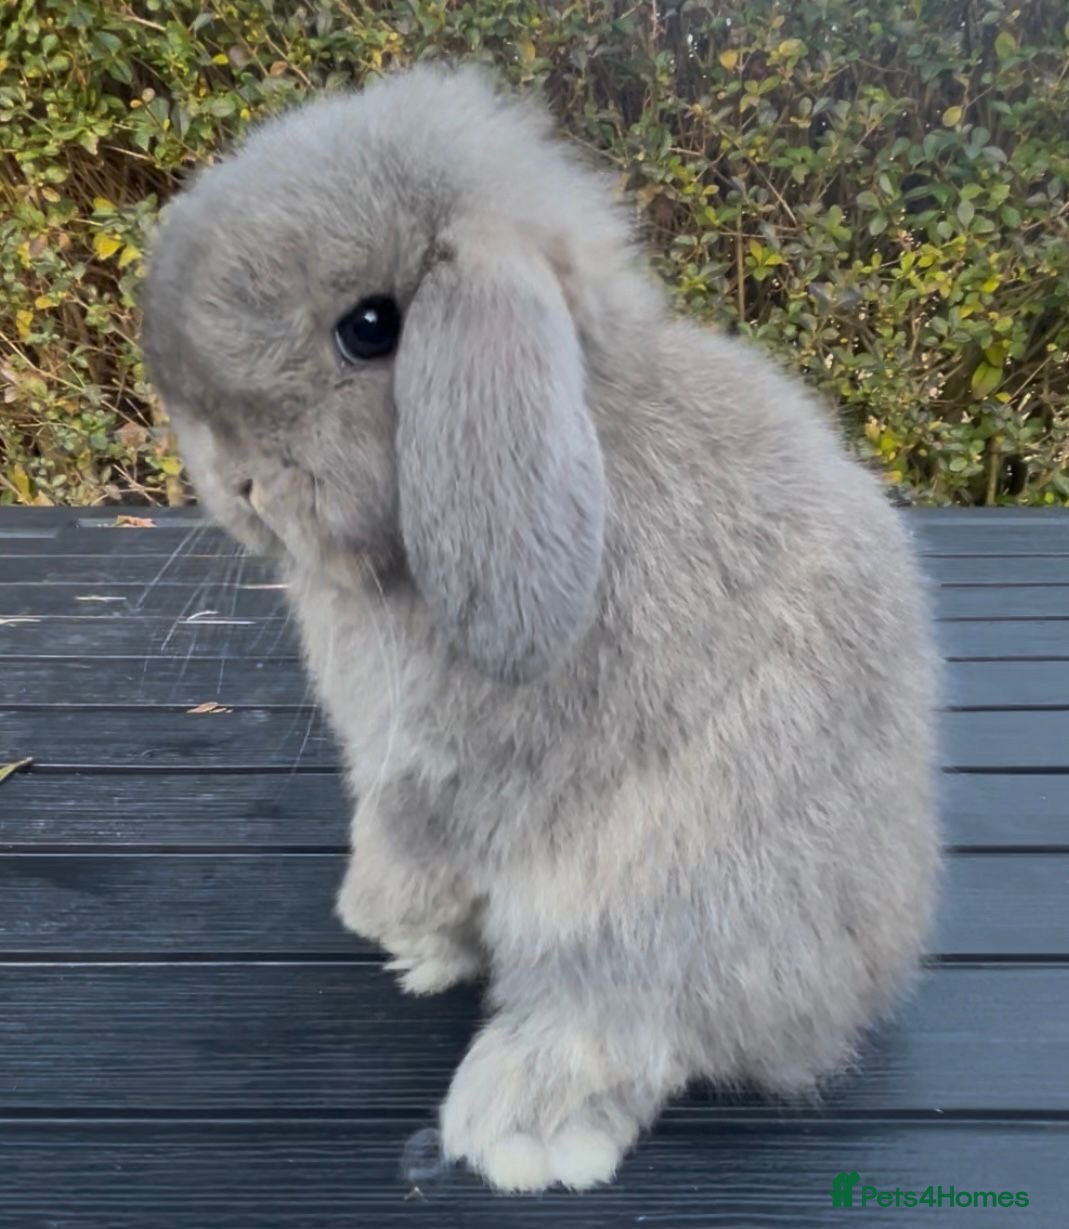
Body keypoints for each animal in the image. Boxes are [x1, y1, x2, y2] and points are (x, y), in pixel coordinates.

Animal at [140, 62, 940, 1194]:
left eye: (370, 327)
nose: (231, 479)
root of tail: (850, 991)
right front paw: (405, 936)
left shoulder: (459, 771)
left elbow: (408, 841)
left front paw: (373, 913)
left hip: (655, 901)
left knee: (626, 1021)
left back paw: (521, 1122)